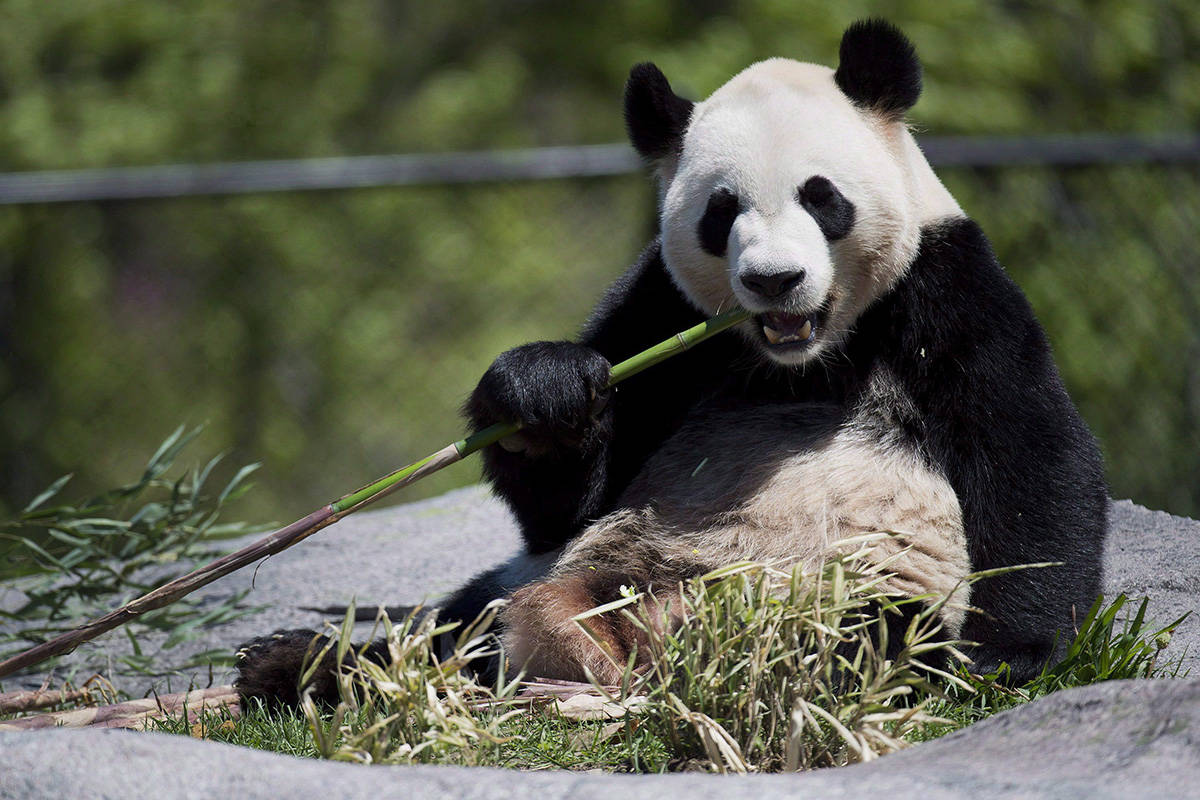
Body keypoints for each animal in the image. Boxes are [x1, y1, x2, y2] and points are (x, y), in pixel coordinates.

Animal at [236, 19, 1108, 707]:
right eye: (721, 213)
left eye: (821, 197)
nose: (773, 280)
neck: (807, 355)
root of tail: (635, 634)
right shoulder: (665, 305)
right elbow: (570, 495)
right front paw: (545, 393)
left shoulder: (947, 288)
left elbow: (1029, 454)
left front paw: (1006, 655)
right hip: (551, 575)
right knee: (459, 625)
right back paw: (296, 667)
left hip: (841, 588)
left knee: (864, 639)